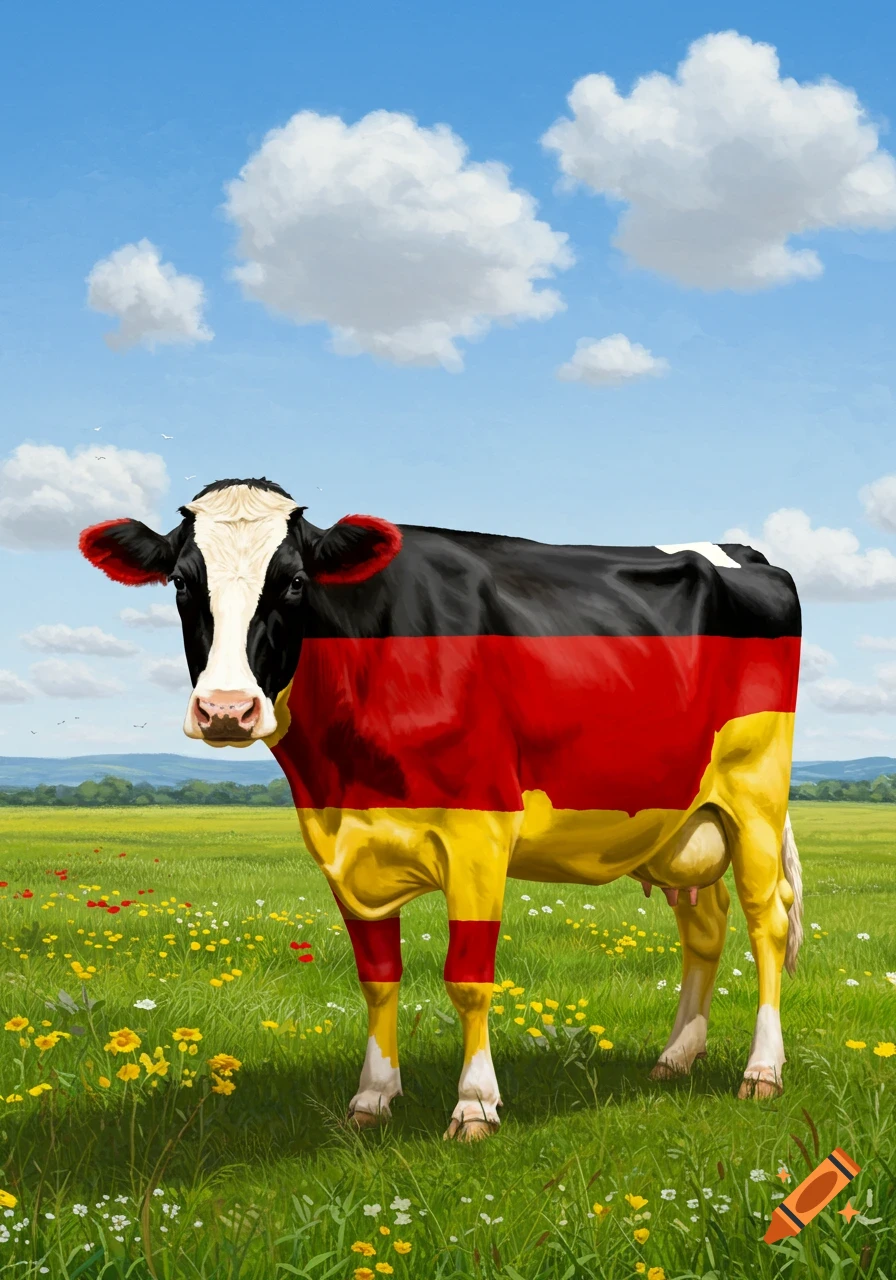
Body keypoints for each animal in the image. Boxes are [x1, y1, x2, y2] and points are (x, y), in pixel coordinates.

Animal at [79, 477, 803, 1141]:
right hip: (684, 818)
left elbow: (468, 977)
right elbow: (377, 976)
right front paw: (372, 1097)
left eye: (294, 582)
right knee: (704, 925)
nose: (226, 710)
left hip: (755, 794)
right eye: (179, 580)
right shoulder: (344, 845)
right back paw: (677, 1056)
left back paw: (763, 1071)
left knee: (766, 922)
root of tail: (745, 553)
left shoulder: (479, 832)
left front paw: (475, 1105)